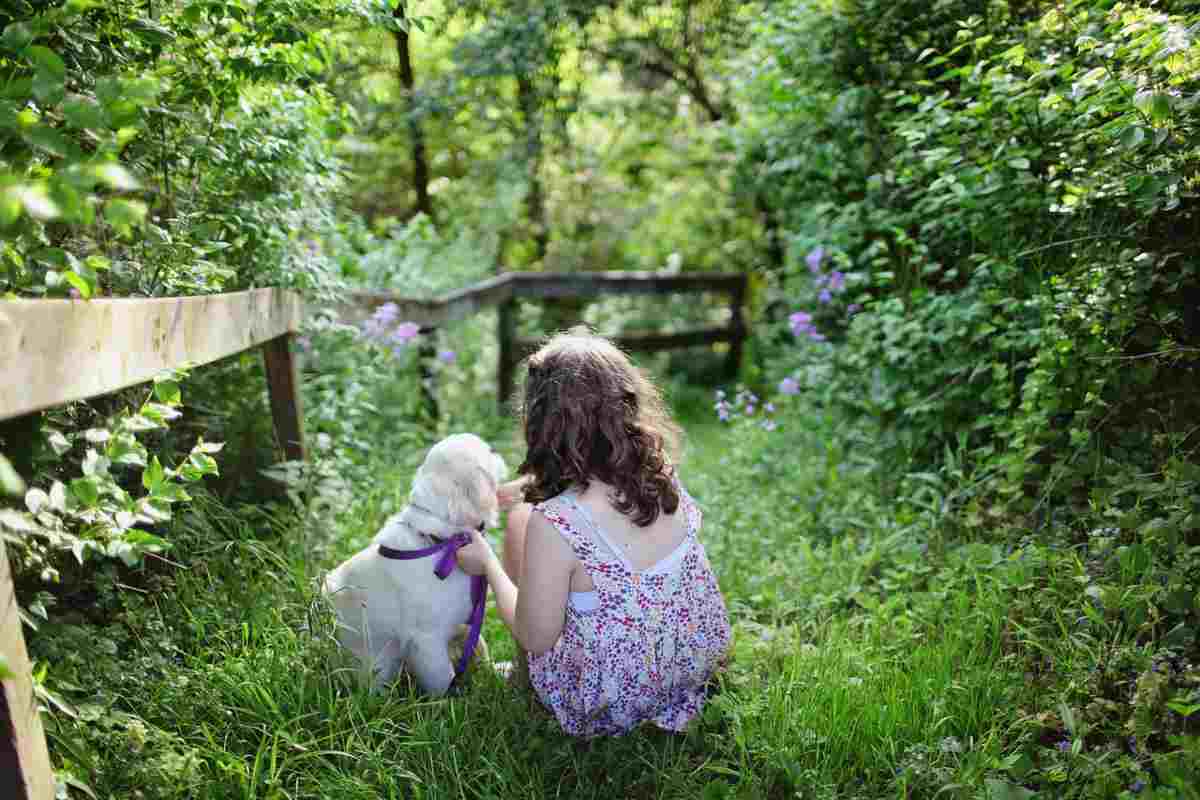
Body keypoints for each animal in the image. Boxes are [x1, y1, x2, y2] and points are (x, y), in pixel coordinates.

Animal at [321, 431, 504, 695]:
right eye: (488, 452)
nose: (498, 451)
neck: (440, 543)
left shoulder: (464, 620)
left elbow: (480, 646)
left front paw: (496, 672)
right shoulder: (426, 640)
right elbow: (443, 678)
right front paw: (452, 700)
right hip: (377, 665)